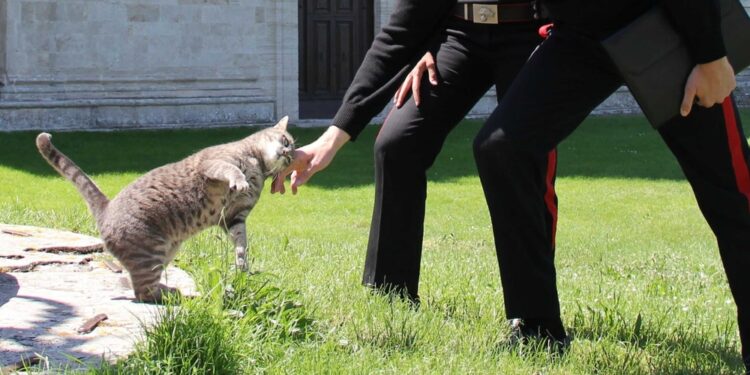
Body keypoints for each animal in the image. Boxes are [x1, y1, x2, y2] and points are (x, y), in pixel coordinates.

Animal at [36, 117, 294, 302]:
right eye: (285, 140)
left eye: (291, 156)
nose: (287, 154)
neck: (258, 165)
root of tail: (106, 209)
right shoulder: (214, 164)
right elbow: (231, 170)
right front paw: (240, 181)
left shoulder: (234, 217)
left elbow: (241, 245)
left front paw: (242, 266)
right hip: (150, 255)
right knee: (142, 292)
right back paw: (176, 295)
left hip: (165, 253)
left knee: (138, 287)